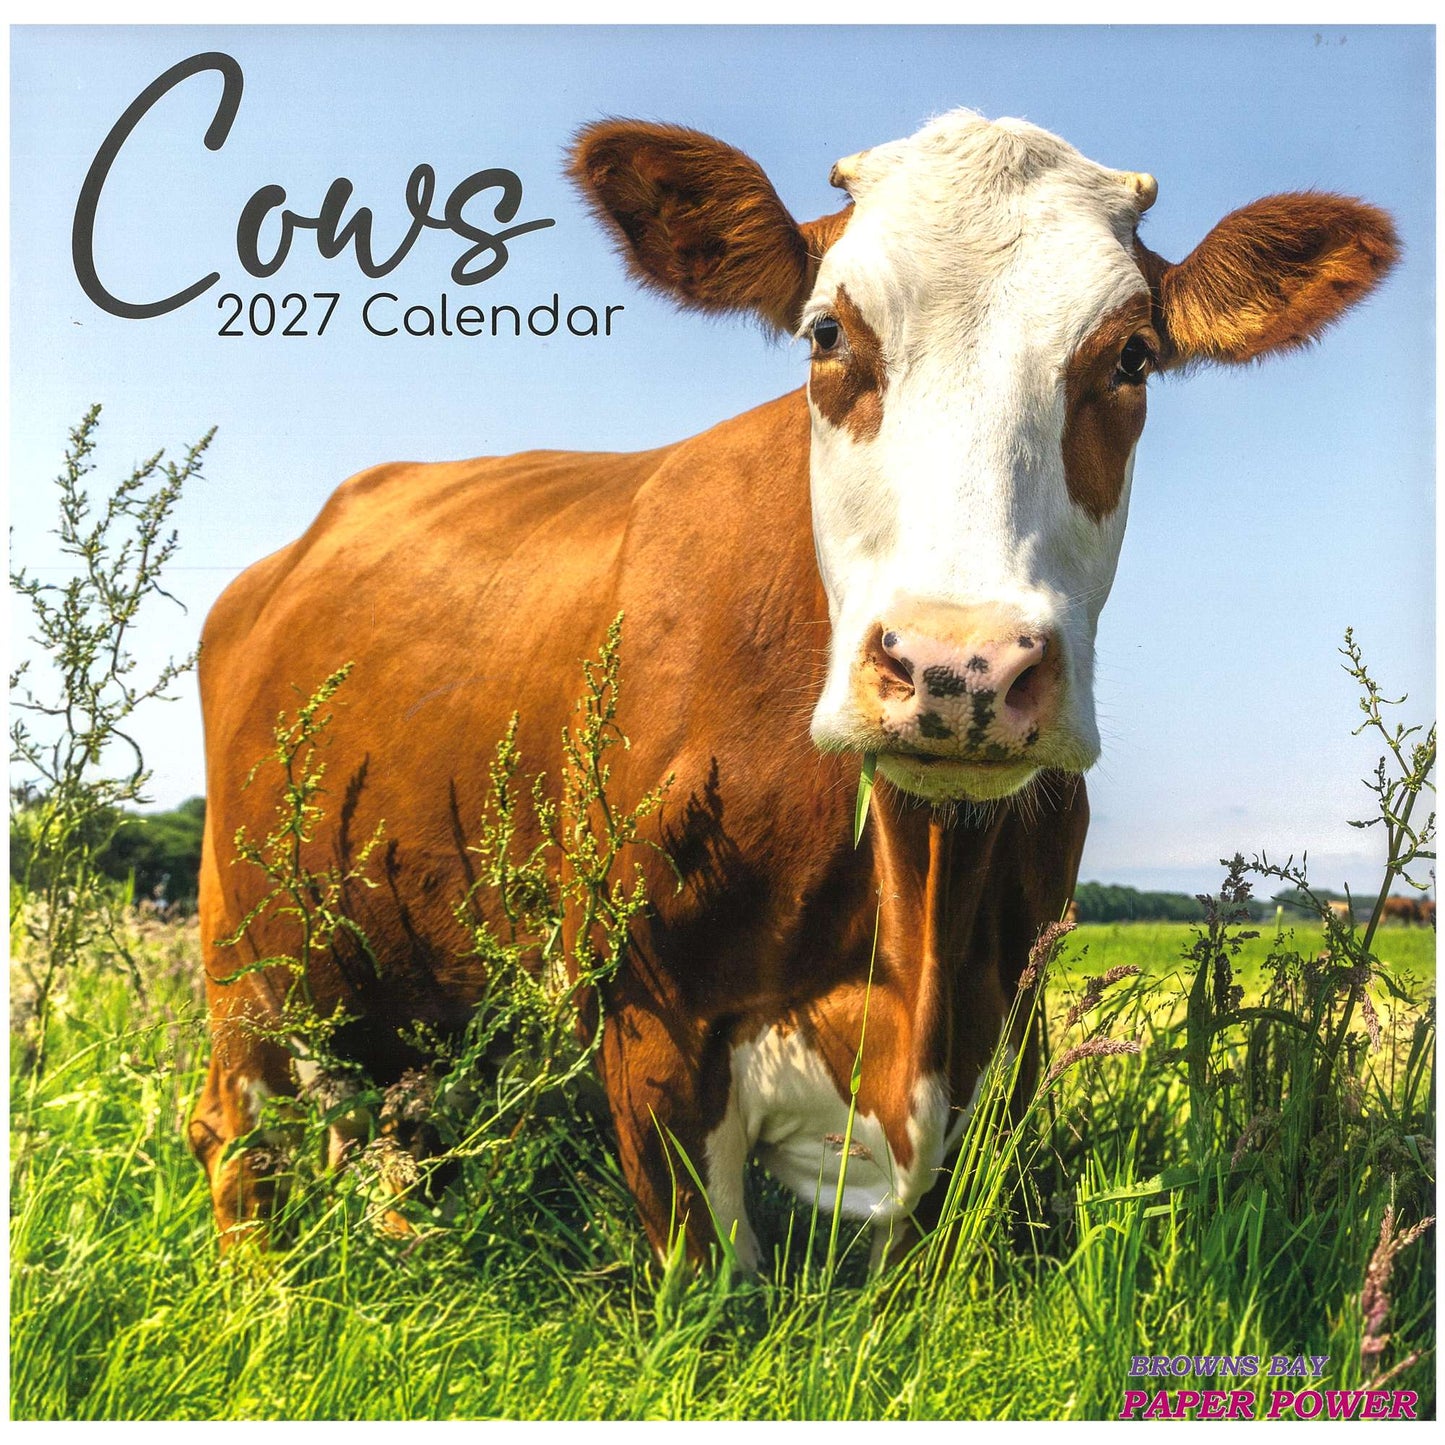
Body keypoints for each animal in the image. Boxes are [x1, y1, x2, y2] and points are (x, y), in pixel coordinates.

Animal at [189, 110, 1397, 1269]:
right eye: (826, 333)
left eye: (1132, 356)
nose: (960, 664)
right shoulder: (651, 1031)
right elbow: (711, 1288)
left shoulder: (1004, 1034)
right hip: (248, 950)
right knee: (236, 1131)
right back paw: (266, 1292)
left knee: (395, 1134)